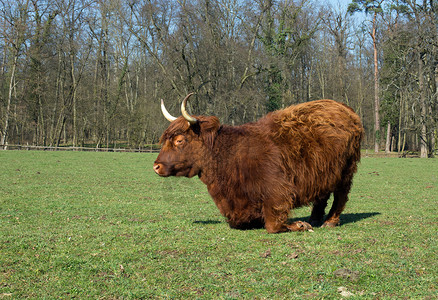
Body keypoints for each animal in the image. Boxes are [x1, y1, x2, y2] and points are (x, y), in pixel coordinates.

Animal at [154, 92, 362, 233]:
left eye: (179, 140)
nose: (156, 166)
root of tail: (347, 109)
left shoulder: (277, 192)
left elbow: (273, 224)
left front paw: (300, 224)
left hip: (346, 170)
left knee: (341, 195)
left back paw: (329, 221)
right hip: (324, 170)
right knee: (323, 194)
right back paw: (316, 219)